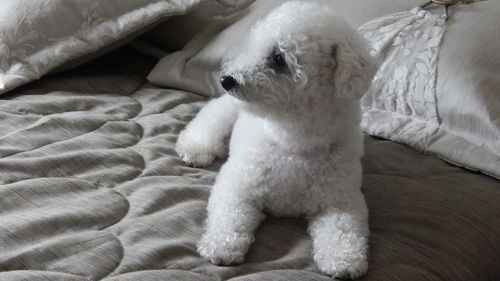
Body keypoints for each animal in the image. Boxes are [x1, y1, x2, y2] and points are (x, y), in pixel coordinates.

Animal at [178, 1, 376, 278]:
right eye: (253, 48)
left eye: (279, 58)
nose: (226, 79)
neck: (294, 140)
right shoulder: (237, 186)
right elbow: (229, 217)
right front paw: (221, 245)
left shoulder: (341, 201)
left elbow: (343, 230)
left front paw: (343, 260)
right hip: (225, 112)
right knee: (207, 123)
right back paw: (195, 150)